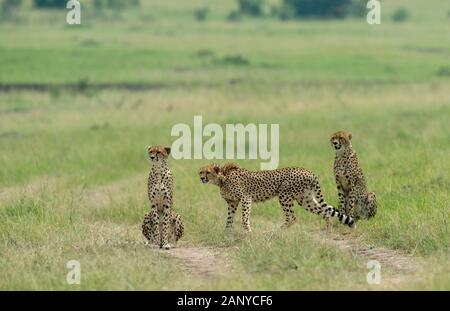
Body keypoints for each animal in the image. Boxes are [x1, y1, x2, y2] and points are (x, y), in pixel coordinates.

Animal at [198, 163, 356, 234]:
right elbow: (229, 218)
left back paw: (278, 230)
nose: (201, 178)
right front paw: (227, 232)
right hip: (305, 199)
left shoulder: (245, 198)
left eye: (207, 172)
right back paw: (328, 229)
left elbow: (244, 217)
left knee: (292, 217)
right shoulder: (232, 203)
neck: (222, 179)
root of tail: (308, 171)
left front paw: (248, 231)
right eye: (200, 171)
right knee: (325, 211)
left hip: (284, 195)